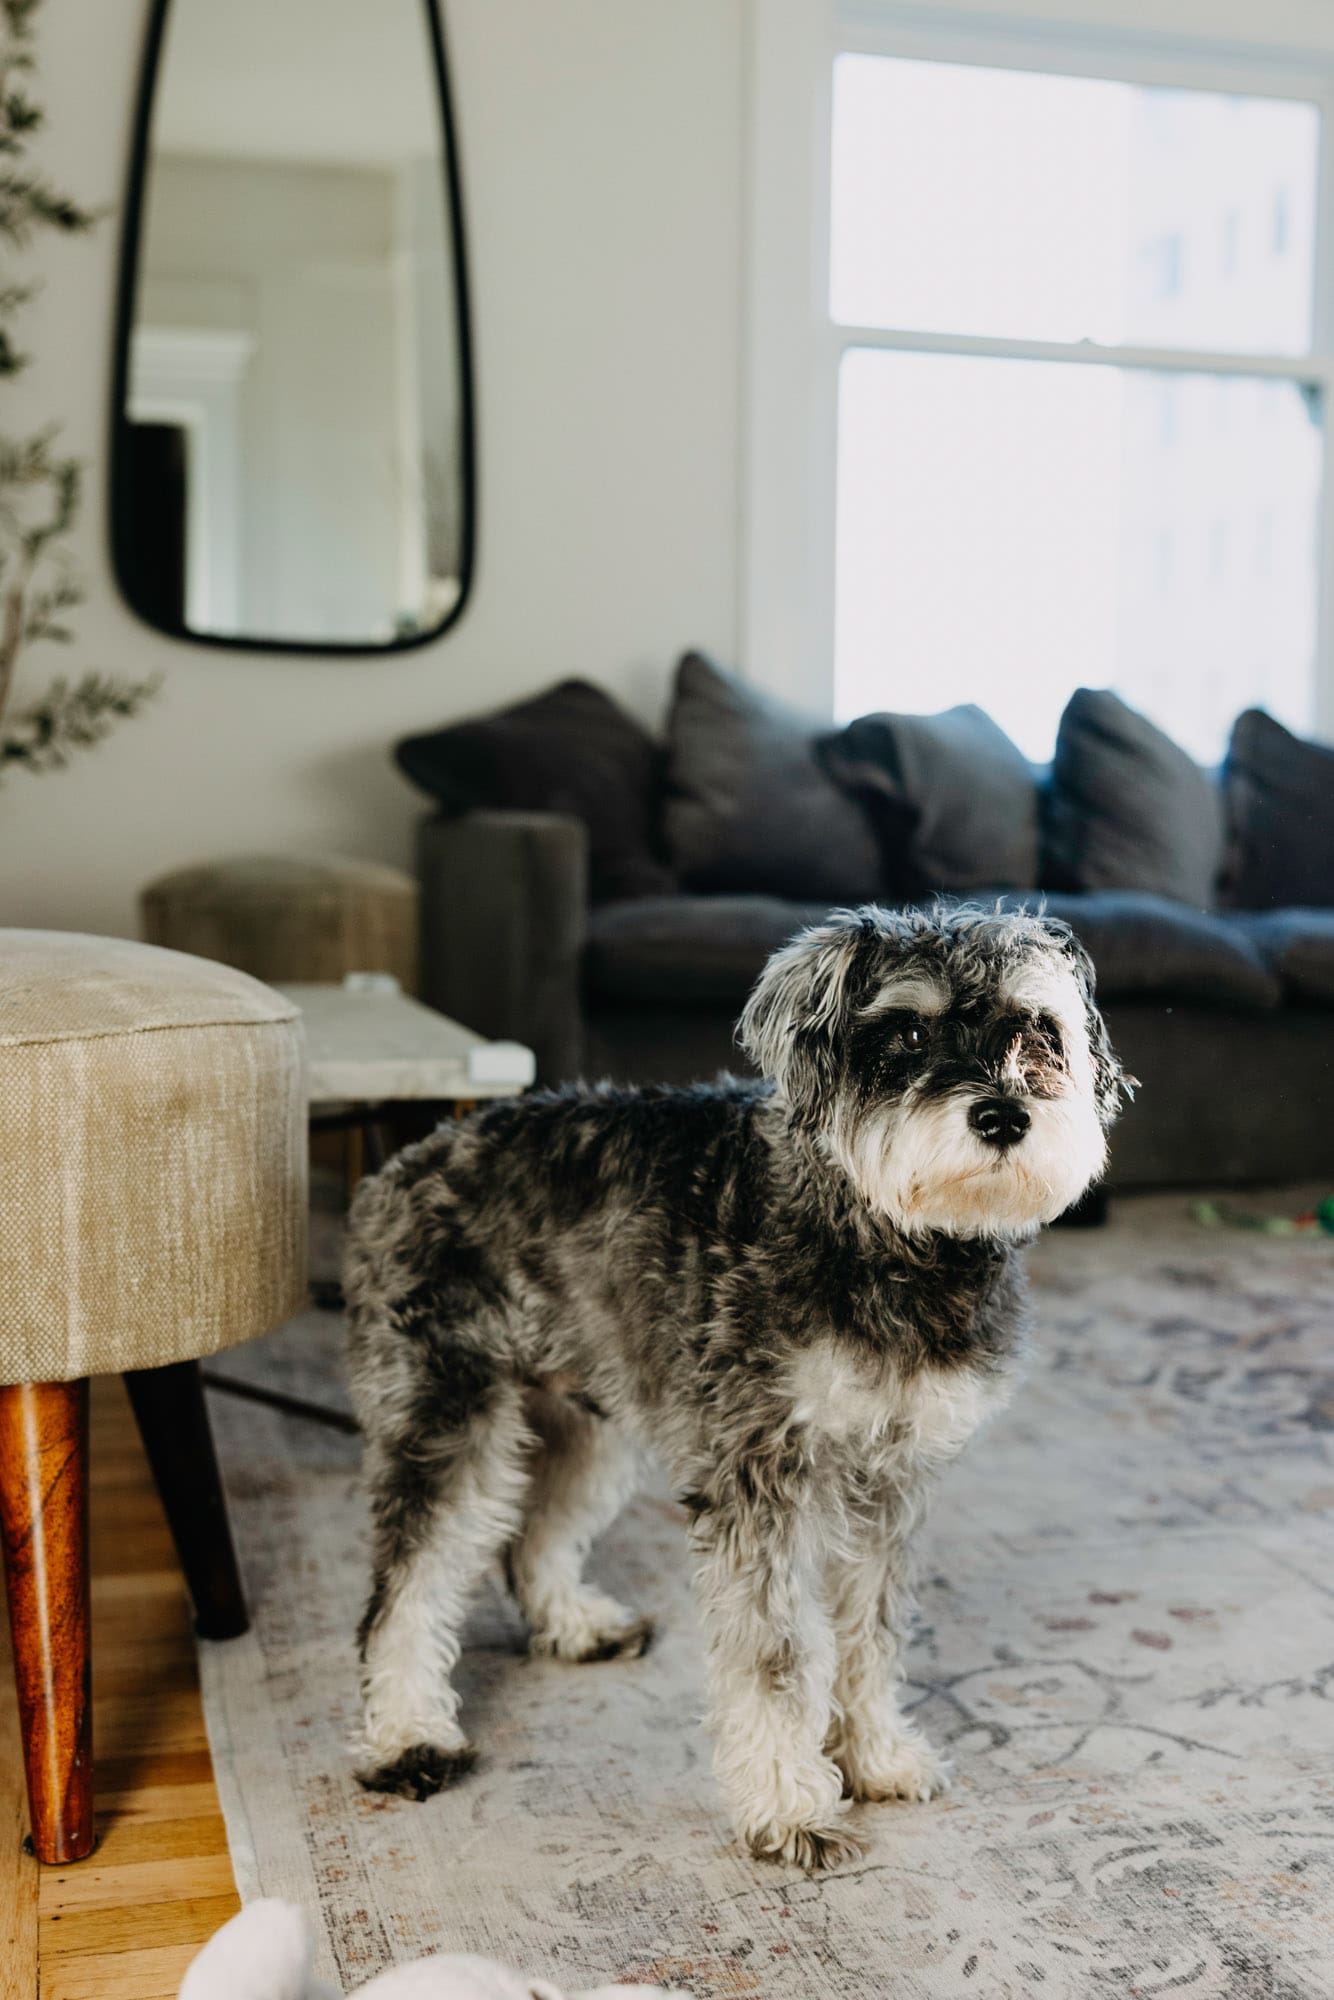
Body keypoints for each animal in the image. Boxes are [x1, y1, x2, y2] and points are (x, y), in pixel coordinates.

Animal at [343, 904, 1125, 1871]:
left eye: (1037, 1029)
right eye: (907, 1031)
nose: (1005, 1115)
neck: (882, 1234)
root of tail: (398, 1170)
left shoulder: (888, 1480)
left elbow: (869, 1632)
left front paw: (875, 1756)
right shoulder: (763, 1477)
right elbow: (778, 1654)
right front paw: (789, 1805)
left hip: (586, 1426)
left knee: (532, 1538)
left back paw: (573, 1625)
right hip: (446, 1418)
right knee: (406, 1587)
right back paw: (406, 1736)